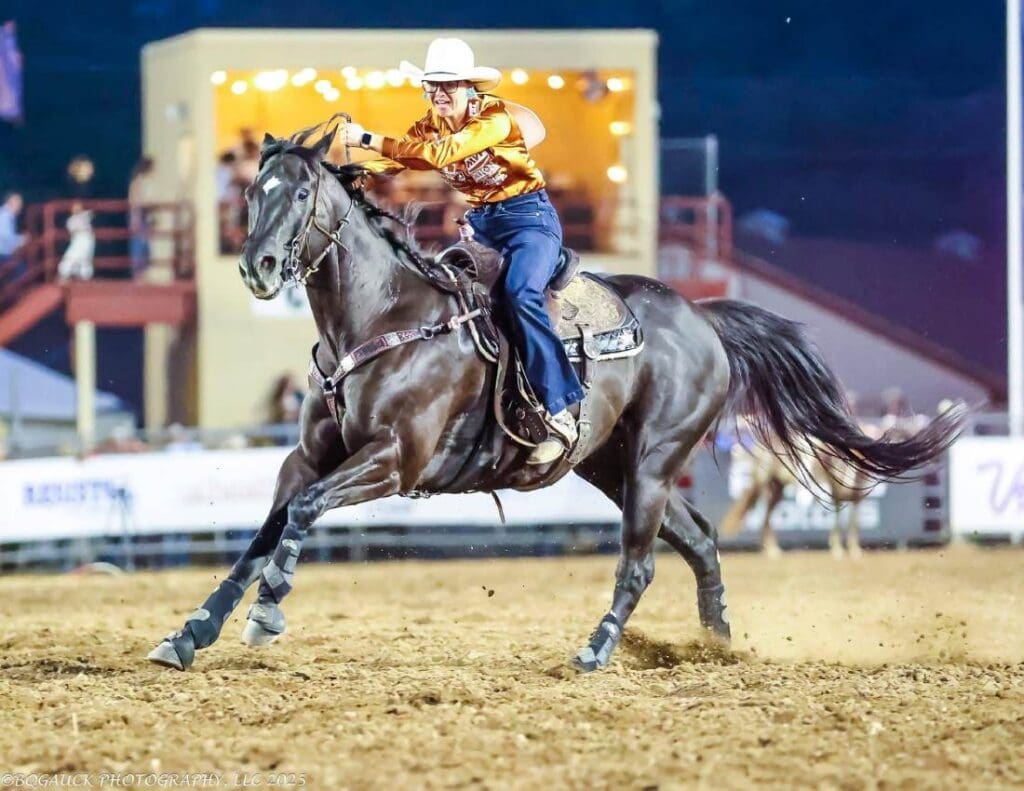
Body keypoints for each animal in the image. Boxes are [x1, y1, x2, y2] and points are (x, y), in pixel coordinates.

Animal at [147, 126, 965, 673]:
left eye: (301, 191)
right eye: (252, 192)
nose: (257, 267)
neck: (383, 316)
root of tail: (703, 318)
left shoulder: (394, 459)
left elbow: (303, 515)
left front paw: (268, 610)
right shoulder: (307, 455)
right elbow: (268, 525)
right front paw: (189, 632)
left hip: (654, 461)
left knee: (641, 562)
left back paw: (598, 649)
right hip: (610, 465)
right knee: (700, 540)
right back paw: (717, 646)